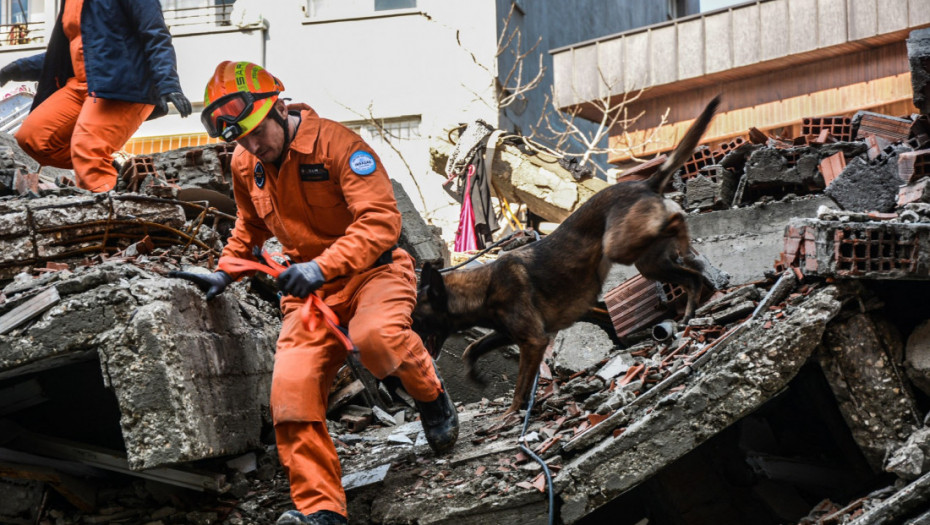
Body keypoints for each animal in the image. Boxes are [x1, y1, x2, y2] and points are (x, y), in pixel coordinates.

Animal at [412, 96, 716, 412]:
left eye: (417, 319)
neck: (484, 285)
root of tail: (643, 182)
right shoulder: (508, 333)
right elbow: (472, 347)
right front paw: (475, 374)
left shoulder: (533, 341)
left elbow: (521, 384)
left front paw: (513, 412)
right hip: (650, 262)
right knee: (691, 278)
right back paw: (689, 306)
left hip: (621, 247)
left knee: (677, 219)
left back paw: (685, 236)